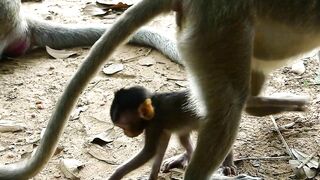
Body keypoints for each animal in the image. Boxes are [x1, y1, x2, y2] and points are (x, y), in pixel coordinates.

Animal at [109, 86, 306, 179]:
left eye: (124, 126)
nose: (127, 134)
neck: (154, 105)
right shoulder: (159, 128)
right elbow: (161, 146)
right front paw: (153, 175)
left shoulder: (154, 124)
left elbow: (149, 152)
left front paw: (116, 175)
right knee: (184, 136)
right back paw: (187, 157)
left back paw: (226, 160)